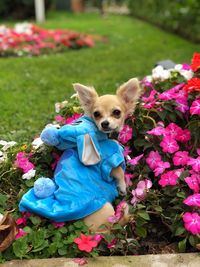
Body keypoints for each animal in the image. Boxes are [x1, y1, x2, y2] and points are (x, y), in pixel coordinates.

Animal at [72, 78, 141, 232]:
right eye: (96, 114)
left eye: (116, 112)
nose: (104, 123)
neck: (108, 137)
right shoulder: (107, 164)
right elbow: (119, 171)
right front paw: (122, 187)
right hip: (107, 210)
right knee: (118, 222)